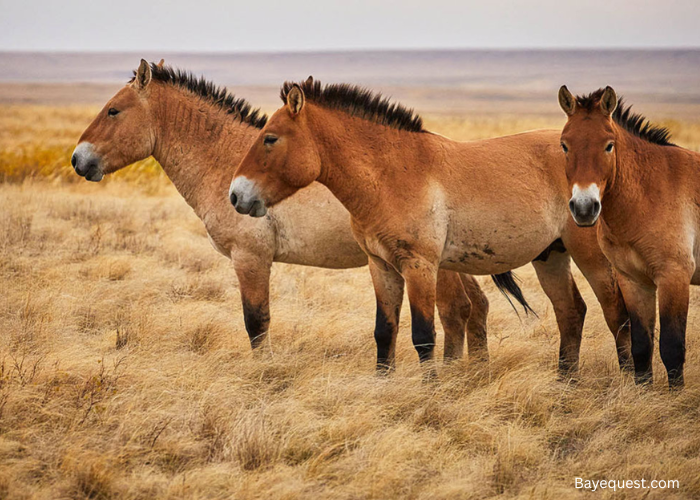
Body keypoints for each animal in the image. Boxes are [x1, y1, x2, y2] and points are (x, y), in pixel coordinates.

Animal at [70, 59, 525, 363]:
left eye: (113, 110)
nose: (78, 160)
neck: (227, 161)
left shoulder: (251, 259)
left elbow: (257, 323)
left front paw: (263, 376)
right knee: (475, 309)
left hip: (433, 266)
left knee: (457, 311)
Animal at [230, 78, 634, 376]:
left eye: (270, 138)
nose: (236, 195)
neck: (391, 175)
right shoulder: (382, 267)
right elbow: (385, 331)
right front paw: (384, 384)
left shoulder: (420, 267)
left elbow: (423, 335)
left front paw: (430, 392)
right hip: (550, 256)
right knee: (571, 313)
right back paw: (566, 382)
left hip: (591, 257)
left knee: (616, 313)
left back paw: (628, 381)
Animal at [558, 85, 699, 388]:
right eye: (564, 145)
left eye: (608, 145)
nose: (584, 208)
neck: (649, 192)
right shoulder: (633, 281)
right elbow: (642, 346)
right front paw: (643, 393)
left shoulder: (673, 277)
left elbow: (672, 347)